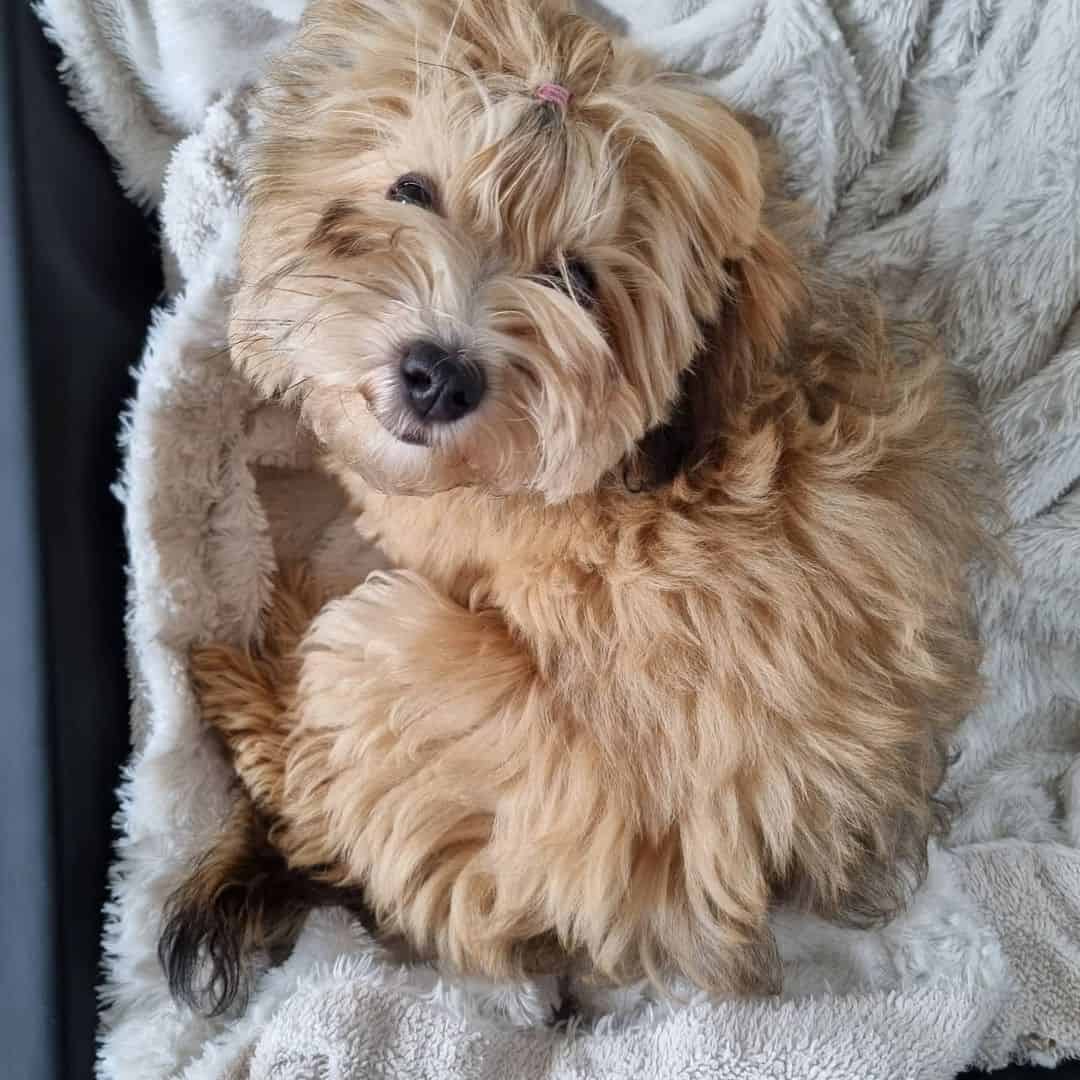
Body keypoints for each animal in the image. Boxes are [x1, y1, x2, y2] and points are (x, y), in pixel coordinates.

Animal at [159, 0, 989, 1010]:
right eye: (412, 191)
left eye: (576, 280)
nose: (439, 377)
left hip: (387, 660)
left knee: (314, 782)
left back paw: (245, 680)